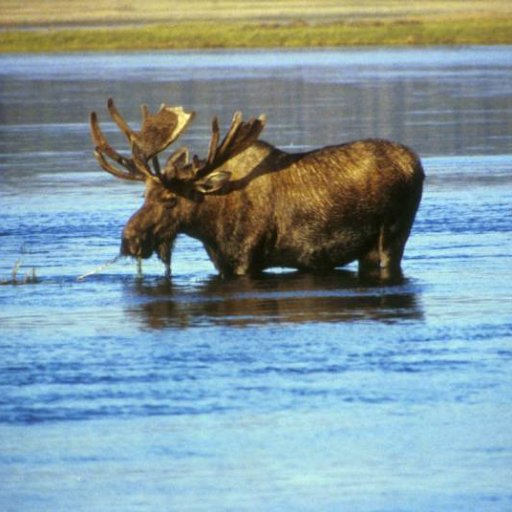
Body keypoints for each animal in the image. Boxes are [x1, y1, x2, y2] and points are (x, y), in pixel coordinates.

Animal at [89, 97, 424, 278]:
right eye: (144, 194)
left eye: (170, 198)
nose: (129, 240)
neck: (209, 226)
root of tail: (416, 163)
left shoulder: (246, 259)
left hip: (393, 235)